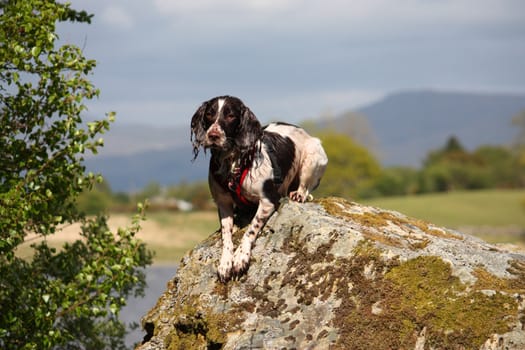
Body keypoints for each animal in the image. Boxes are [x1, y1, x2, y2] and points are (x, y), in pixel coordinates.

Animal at [190, 95, 326, 282]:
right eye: (209, 114)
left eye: (231, 116)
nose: (213, 135)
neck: (233, 163)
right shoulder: (223, 203)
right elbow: (226, 235)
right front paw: (225, 262)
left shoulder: (268, 200)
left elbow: (251, 229)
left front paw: (240, 257)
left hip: (313, 157)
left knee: (305, 187)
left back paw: (298, 194)